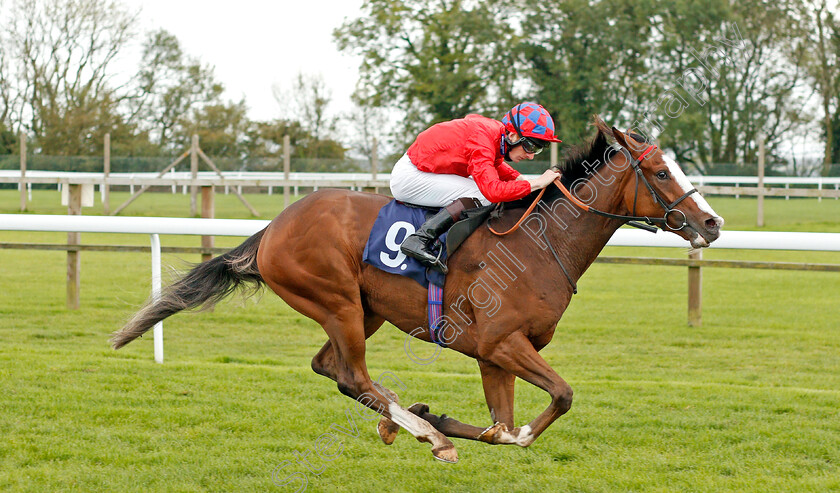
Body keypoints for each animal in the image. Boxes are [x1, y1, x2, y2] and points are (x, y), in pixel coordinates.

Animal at [115, 118, 724, 462]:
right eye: (661, 173)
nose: (713, 223)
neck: (538, 243)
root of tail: (275, 226)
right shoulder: (502, 343)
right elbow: (543, 411)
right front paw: (441, 426)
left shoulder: (495, 354)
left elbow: (504, 426)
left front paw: (438, 416)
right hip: (335, 300)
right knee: (351, 374)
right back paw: (426, 434)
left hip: (364, 310)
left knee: (331, 368)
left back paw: (407, 421)